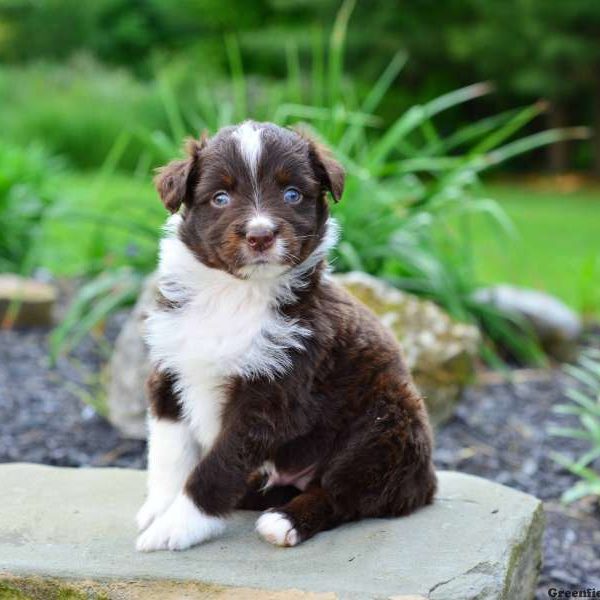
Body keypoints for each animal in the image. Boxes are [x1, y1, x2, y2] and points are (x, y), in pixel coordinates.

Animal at [136, 119, 436, 552]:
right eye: (220, 197)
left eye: (292, 194)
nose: (260, 235)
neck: (234, 295)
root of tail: (428, 482)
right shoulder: (170, 370)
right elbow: (169, 452)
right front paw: (159, 508)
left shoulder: (272, 396)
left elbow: (216, 468)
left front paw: (176, 526)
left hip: (386, 428)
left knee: (346, 492)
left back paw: (285, 520)